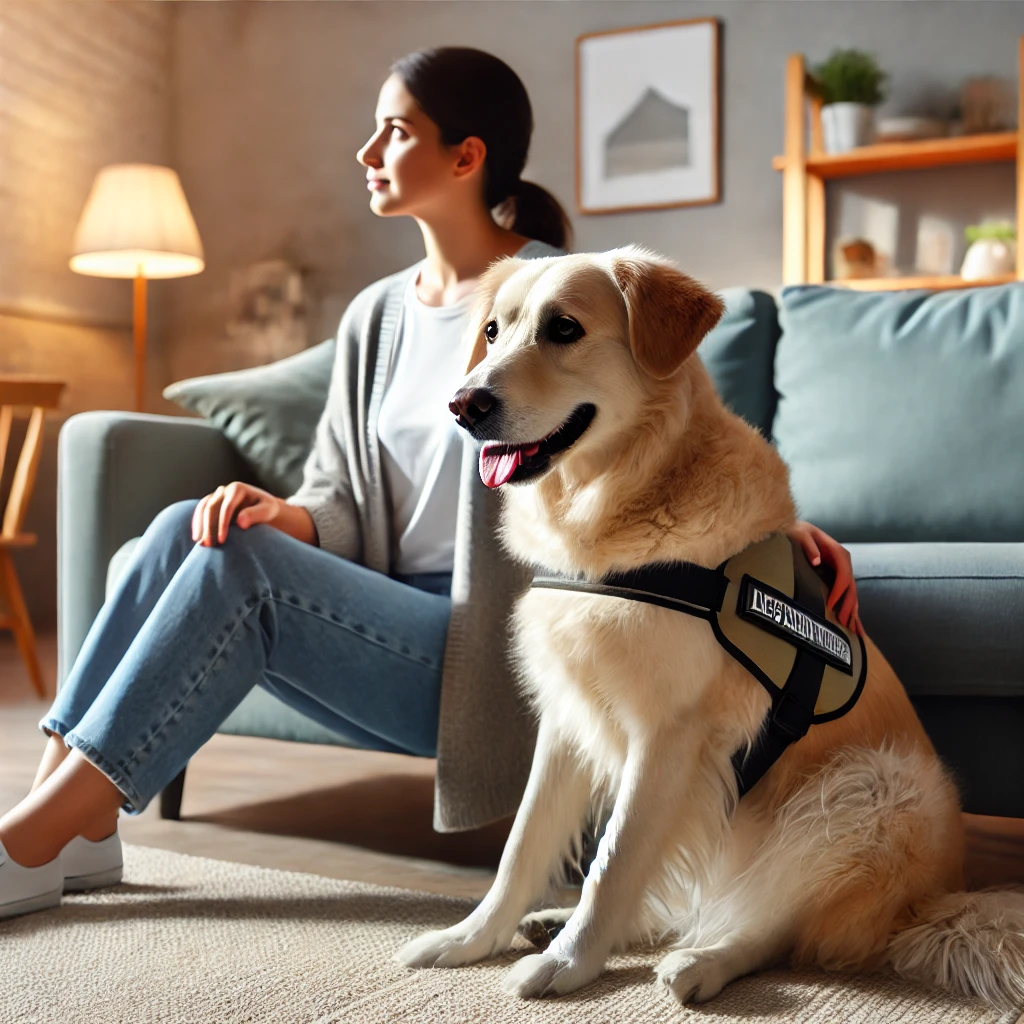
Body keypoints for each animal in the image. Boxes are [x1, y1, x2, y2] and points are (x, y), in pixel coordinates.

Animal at [395, 245, 1024, 1007]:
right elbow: (522, 846)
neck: (617, 512)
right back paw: (563, 923)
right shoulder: (567, 719)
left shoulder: (672, 733)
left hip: (867, 790)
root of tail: (932, 905)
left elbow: (614, 858)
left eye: (565, 329)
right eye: (492, 332)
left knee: (774, 928)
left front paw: (571, 964)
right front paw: (472, 938)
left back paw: (702, 962)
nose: (465, 406)